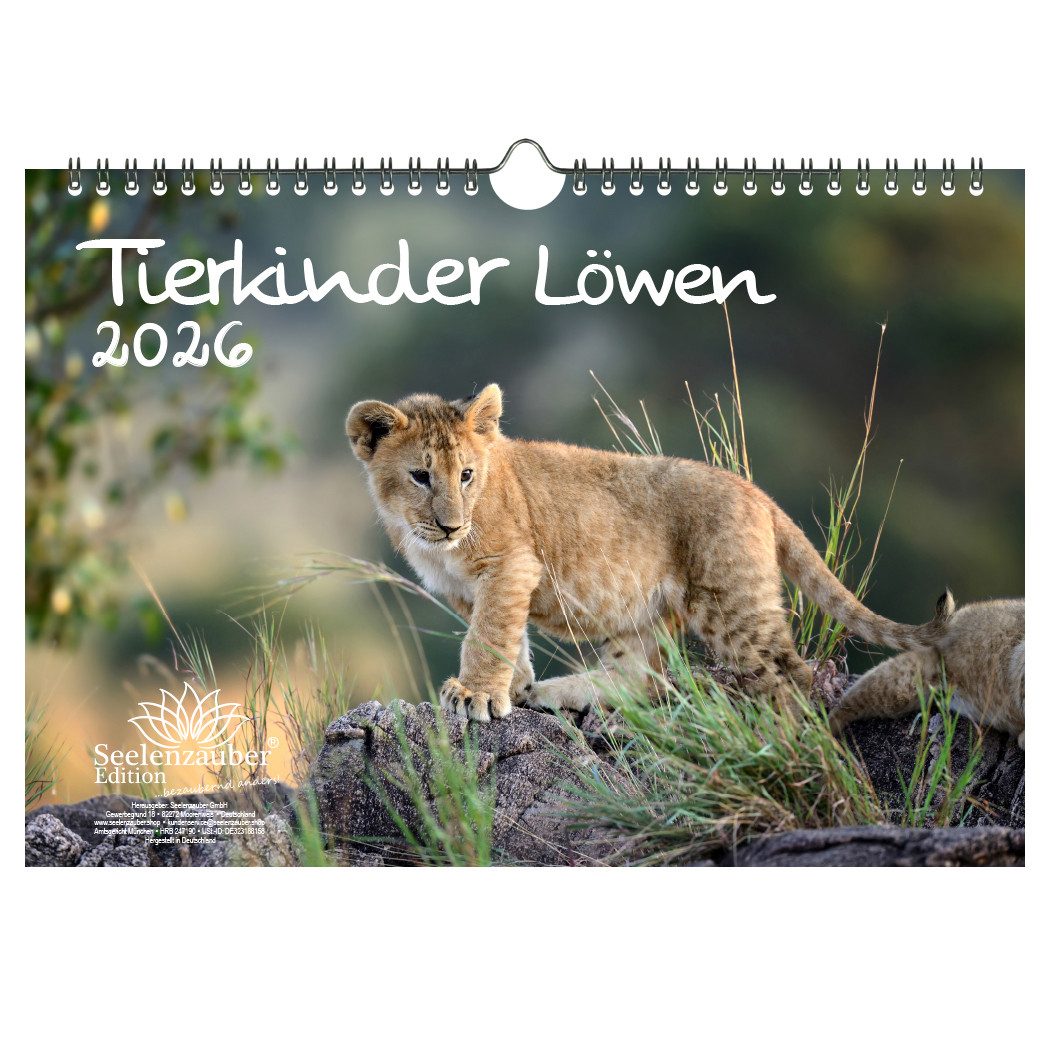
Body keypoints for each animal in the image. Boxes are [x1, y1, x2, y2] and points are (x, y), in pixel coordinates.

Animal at [346, 383, 949, 721]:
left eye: (466, 475)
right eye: (421, 476)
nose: (450, 525)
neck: (431, 542)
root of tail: (758, 494)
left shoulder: (511, 564)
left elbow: (490, 634)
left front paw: (474, 696)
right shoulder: (468, 590)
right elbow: (506, 638)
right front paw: (512, 688)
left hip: (731, 603)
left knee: (791, 674)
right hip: (641, 613)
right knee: (642, 679)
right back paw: (556, 693)